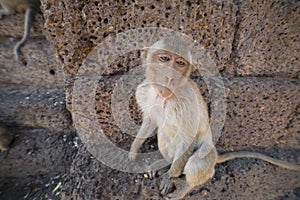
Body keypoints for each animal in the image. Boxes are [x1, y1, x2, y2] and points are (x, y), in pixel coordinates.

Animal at [127, 36, 298, 200]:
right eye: (164, 59)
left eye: (180, 63)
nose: (170, 77)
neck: (163, 97)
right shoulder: (143, 92)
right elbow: (150, 122)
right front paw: (133, 152)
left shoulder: (186, 103)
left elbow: (188, 138)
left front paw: (169, 177)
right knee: (164, 134)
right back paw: (166, 162)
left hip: (208, 155)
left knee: (196, 161)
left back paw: (184, 185)